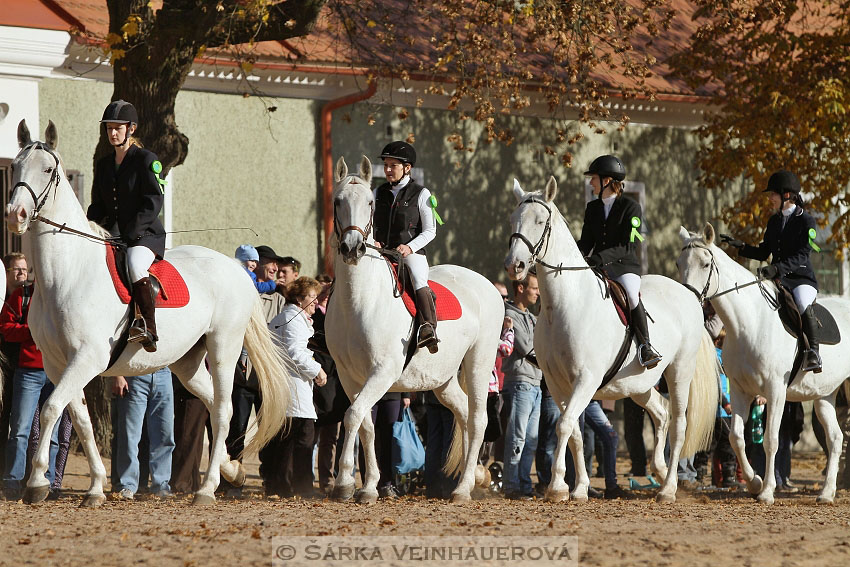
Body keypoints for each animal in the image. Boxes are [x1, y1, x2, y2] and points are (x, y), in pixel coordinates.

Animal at [5, 120, 292, 506]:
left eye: (49, 170)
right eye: (17, 166)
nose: (15, 216)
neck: (68, 272)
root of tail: (237, 269)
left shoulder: (87, 358)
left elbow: (51, 407)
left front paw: (36, 482)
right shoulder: (56, 362)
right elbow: (79, 419)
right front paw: (95, 487)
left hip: (224, 348)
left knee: (222, 408)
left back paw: (207, 488)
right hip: (187, 361)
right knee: (216, 406)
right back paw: (230, 471)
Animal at [322, 158, 500, 504]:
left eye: (370, 203)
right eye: (337, 202)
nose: (352, 248)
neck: (359, 300)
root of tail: (489, 286)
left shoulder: (383, 372)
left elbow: (352, 416)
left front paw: (344, 483)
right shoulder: (350, 376)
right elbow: (366, 424)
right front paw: (367, 486)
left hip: (479, 363)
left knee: (478, 418)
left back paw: (462, 490)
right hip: (443, 378)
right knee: (463, 413)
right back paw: (465, 480)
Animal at [504, 178, 716, 502]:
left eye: (540, 221)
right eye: (513, 219)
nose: (514, 265)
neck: (561, 305)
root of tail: (690, 295)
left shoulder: (586, 380)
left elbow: (564, 426)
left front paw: (556, 487)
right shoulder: (557, 383)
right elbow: (575, 433)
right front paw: (577, 488)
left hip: (679, 372)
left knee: (679, 423)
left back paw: (668, 489)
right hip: (638, 384)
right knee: (661, 413)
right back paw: (657, 471)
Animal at [676, 224, 848, 504]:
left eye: (705, 264)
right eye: (679, 263)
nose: (690, 301)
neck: (749, 322)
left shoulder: (775, 391)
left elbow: (771, 440)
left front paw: (767, 491)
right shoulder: (739, 390)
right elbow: (736, 437)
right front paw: (754, 482)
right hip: (824, 394)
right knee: (834, 438)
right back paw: (826, 493)